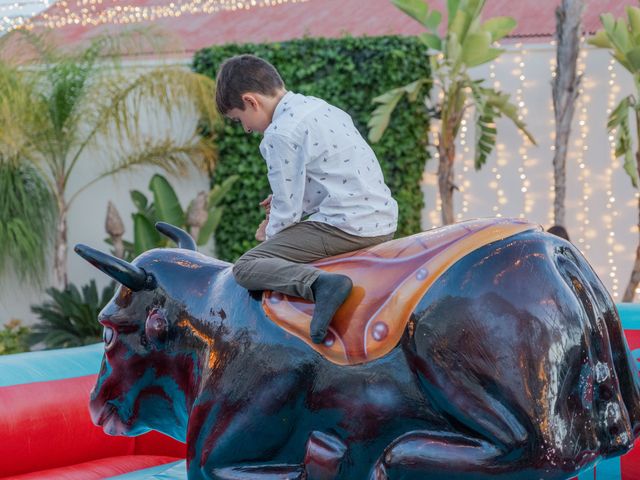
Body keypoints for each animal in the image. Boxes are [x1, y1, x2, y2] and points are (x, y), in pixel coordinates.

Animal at [74, 218, 640, 480]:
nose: (96, 405)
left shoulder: (220, 442)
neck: (208, 323)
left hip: (449, 357)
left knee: (539, 452)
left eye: (107, 330)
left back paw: (393, 456)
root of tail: (556, 252)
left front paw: (330, 457)